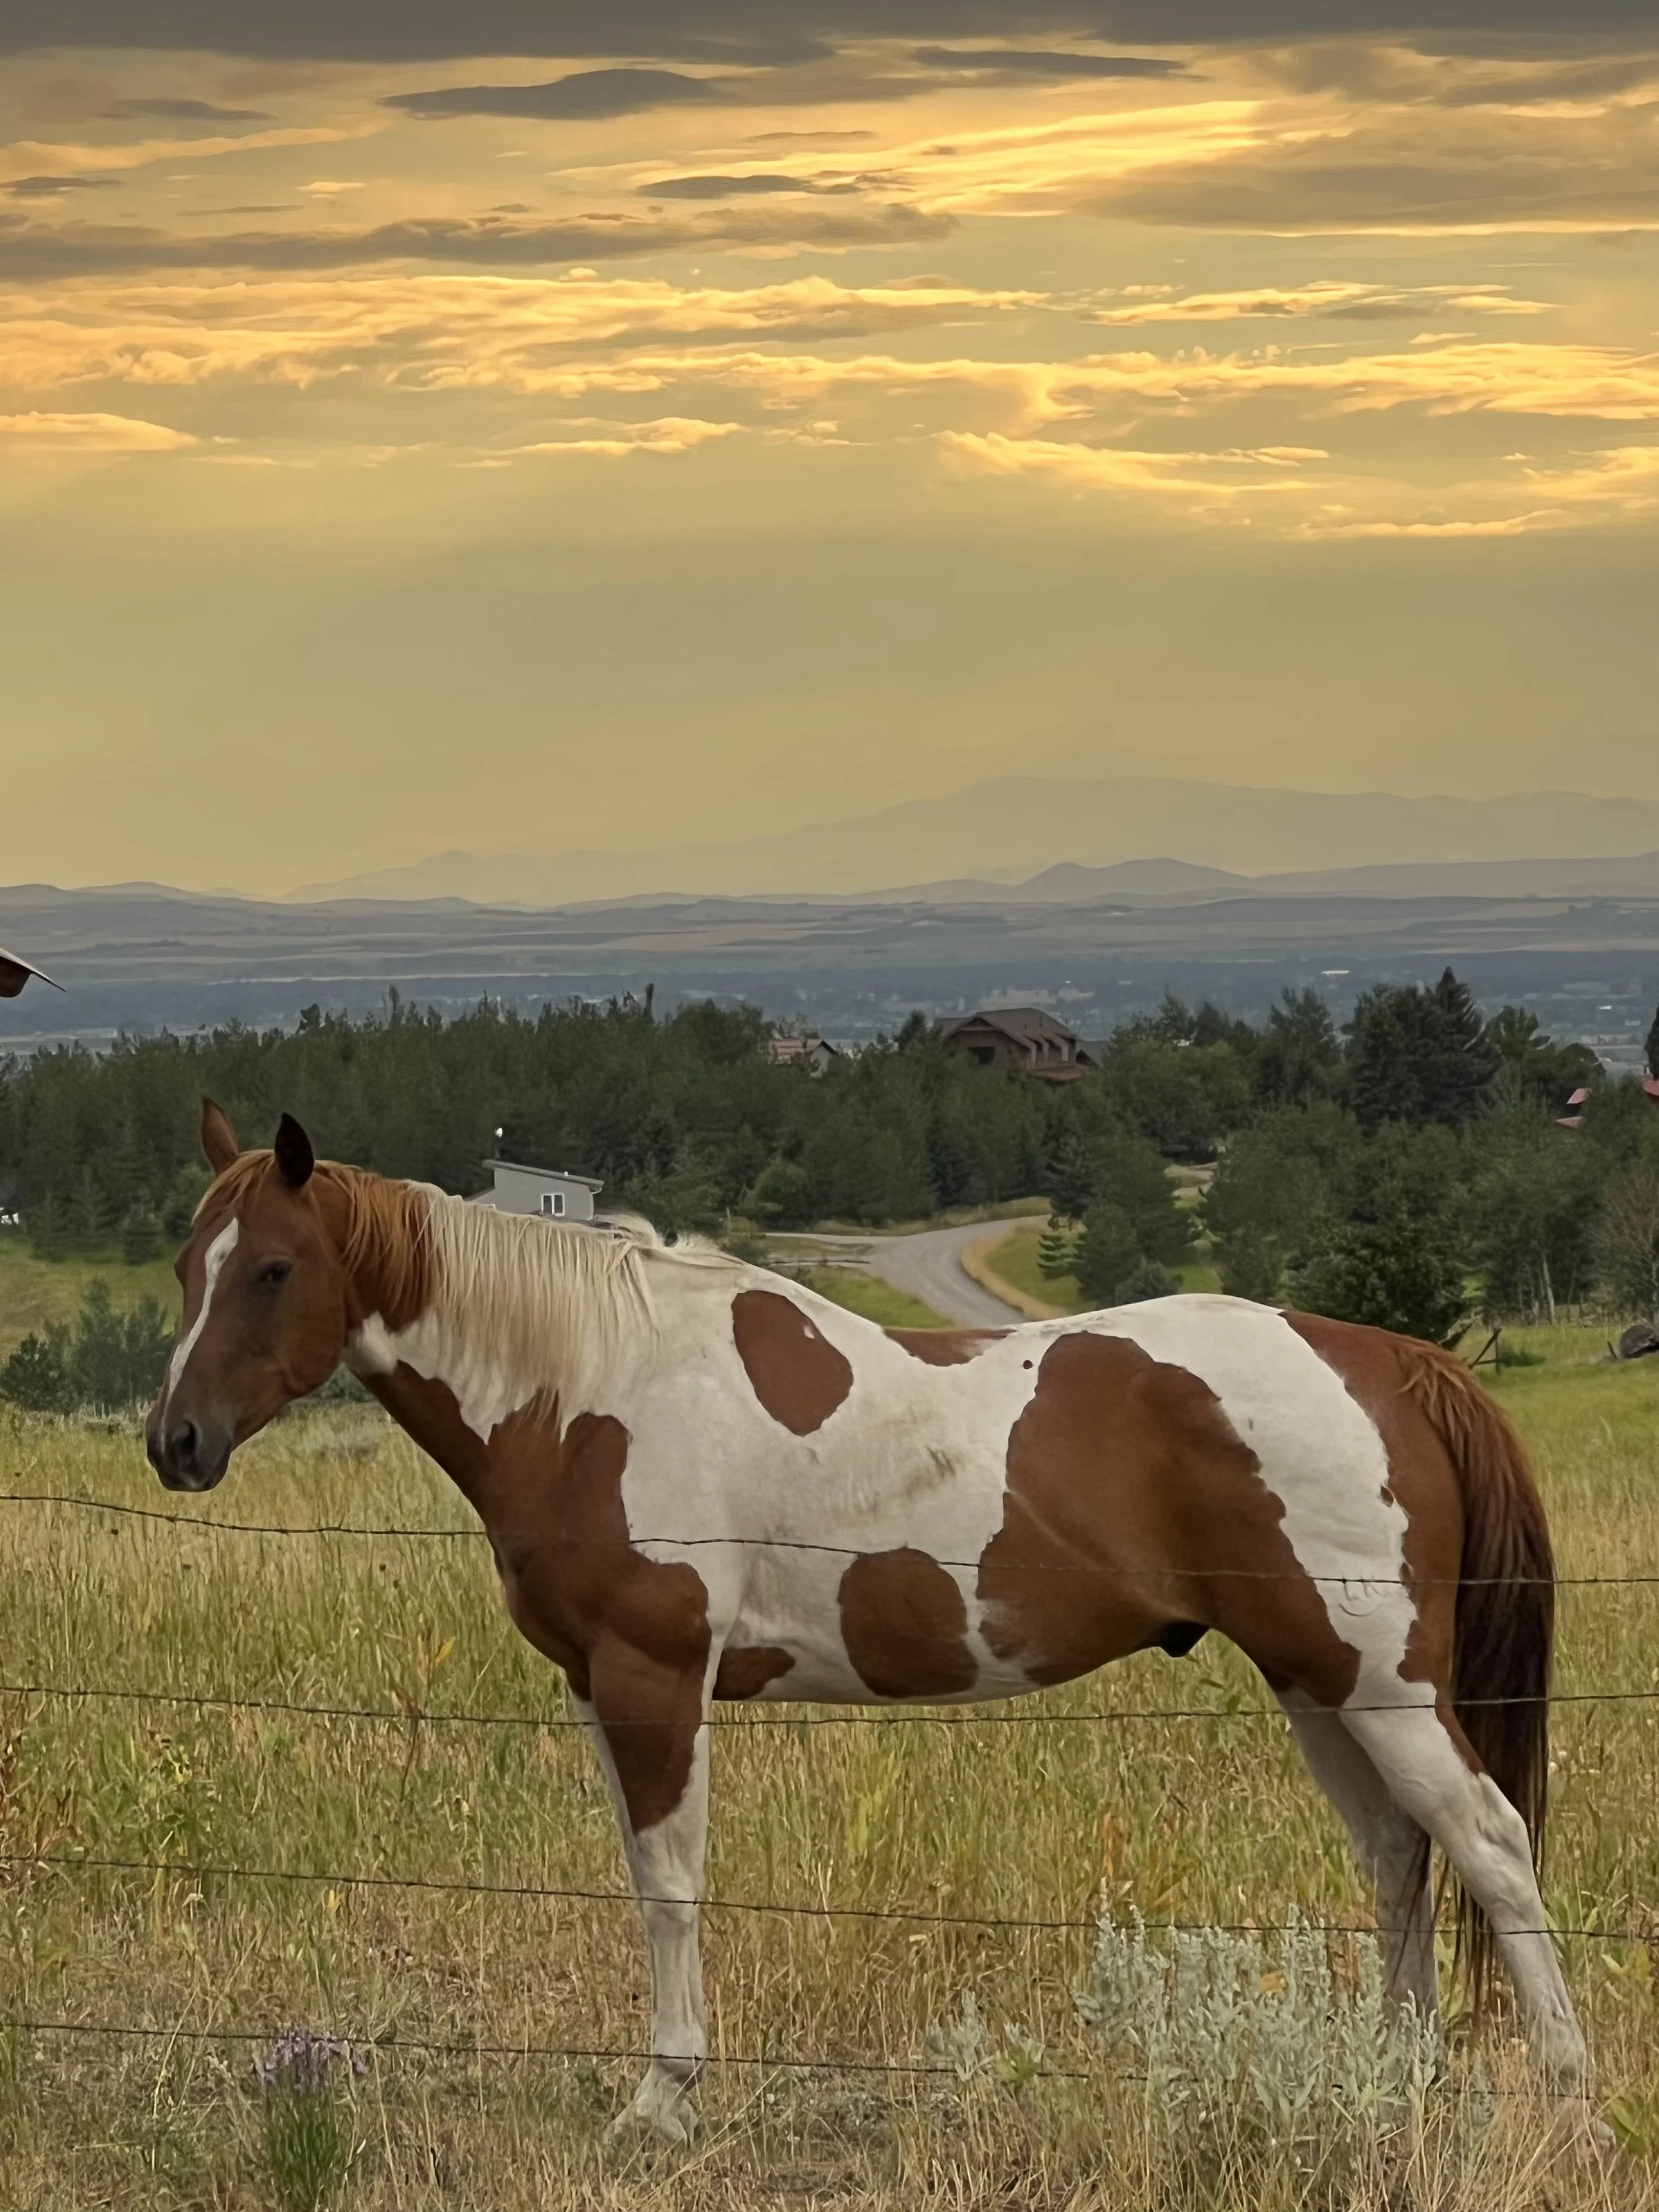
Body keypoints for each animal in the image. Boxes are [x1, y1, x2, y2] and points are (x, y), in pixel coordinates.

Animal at [147, 1100, 1593, 2142]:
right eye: (184, 1266)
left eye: (272, 1267)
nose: (177, 1441)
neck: (594, 1386)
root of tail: (1388, 1359)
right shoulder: (598, 1687)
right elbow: (643, 1877)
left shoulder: (655, 1675)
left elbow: (670, 1886)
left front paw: (662, 2101)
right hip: (1314, 1680)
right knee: (1400, 1855)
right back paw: (1393, 2082)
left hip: (1380, 1684)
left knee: (1488, 1841)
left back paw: (1570, 2092)